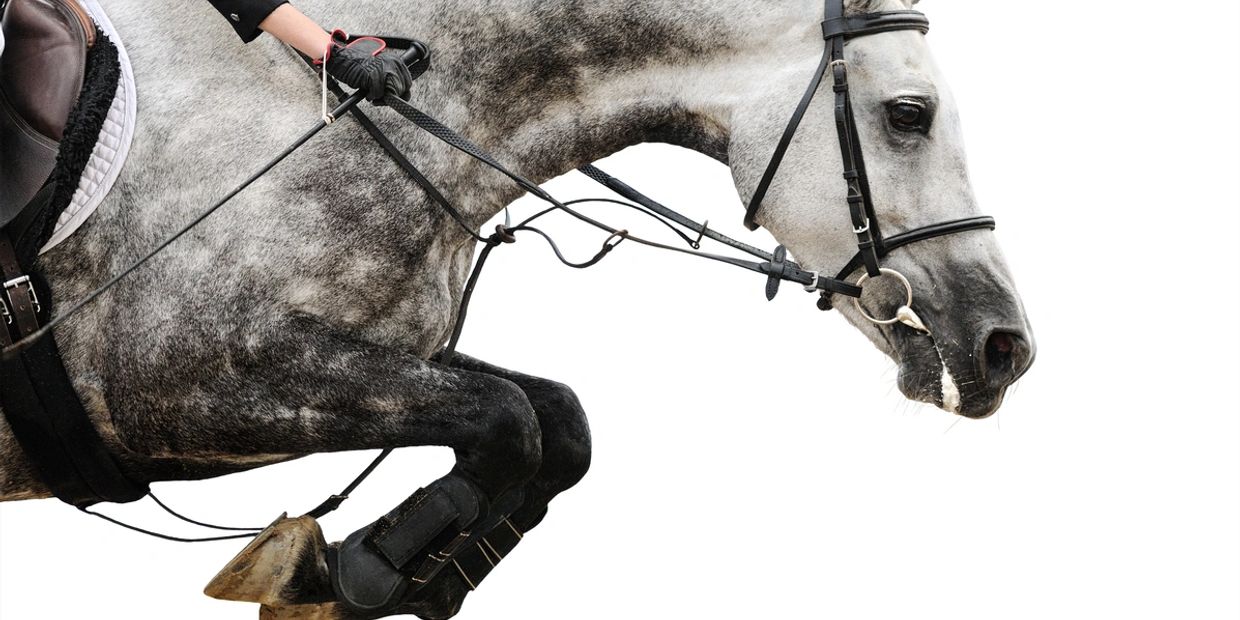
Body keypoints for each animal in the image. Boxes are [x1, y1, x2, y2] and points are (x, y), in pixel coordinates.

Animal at [0, 0, 1034, 617]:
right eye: (909, 114)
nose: (1004, 347)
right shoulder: (182, 388)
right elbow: (508, 419)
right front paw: (351, 568)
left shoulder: (378, 355)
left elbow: (555, 421)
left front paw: (397, 572)